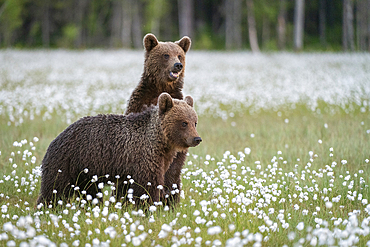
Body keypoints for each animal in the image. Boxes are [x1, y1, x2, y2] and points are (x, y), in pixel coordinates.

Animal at [36, 92, 201, 206]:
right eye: (184, 122)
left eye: (195, 122)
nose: (197, 139)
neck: (160, 142)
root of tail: (55, 139)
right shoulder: (143, 158)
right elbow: (147, 186)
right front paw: (149, 207)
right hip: (66, 163)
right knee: (54, 189)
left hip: (85, 172)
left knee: (90, 192)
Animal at [126, 33, 192, 206]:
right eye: (166, 55)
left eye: (179, 55)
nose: (177, 65)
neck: (161, 88)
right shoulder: (139, 103)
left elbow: (177, 158)